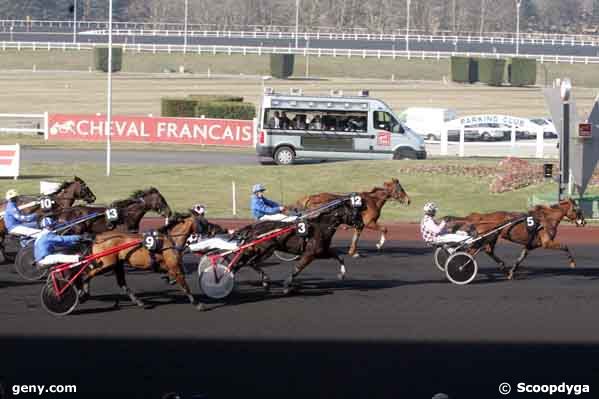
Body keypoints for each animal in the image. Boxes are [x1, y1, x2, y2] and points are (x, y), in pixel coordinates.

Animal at [446, 198, 584, 280]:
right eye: (577, 210)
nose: (583, 222)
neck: (547, 219)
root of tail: (482, 217)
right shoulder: (547, 242)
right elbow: (565, 247)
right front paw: (572, 263)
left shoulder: (529, 245)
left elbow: (520, 258)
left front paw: (511, 272)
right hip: (486, 237)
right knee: (471, 252)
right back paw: (462, 267)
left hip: (491, 237)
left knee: (487, 251)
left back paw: (503, 267)